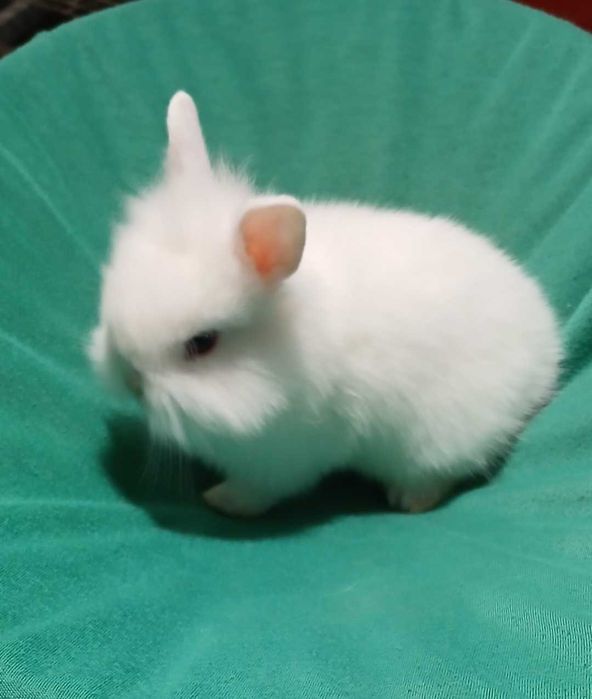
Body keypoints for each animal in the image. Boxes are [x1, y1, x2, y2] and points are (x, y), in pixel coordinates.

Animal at [89, 91, 562, 518]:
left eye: (202, 343)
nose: (132, 380)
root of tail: (546, 346)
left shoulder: (286, 457)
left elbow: (258, 491)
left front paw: (221, 500)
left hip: (438, 438)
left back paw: (408, 499)